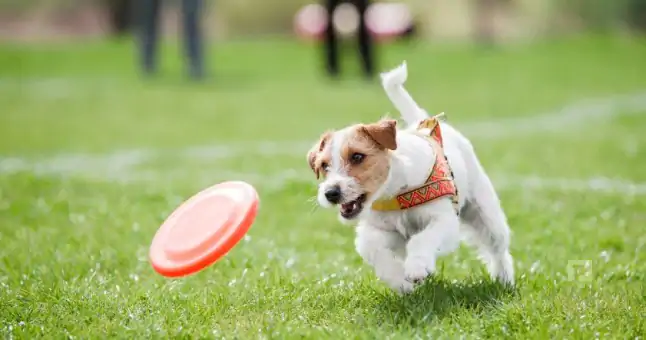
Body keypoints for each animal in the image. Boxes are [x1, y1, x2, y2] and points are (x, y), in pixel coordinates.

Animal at [308, 61, 516, 292]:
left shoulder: (444, 220)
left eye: (357, 156)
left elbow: (422, 239)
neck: (395, 192)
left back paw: (504, 279)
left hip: (486, 214)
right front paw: (400, 282)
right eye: (324, 165)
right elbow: (372, 249)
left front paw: (417, 268)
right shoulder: (378, 230)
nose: (330, 193)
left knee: (498, 249)